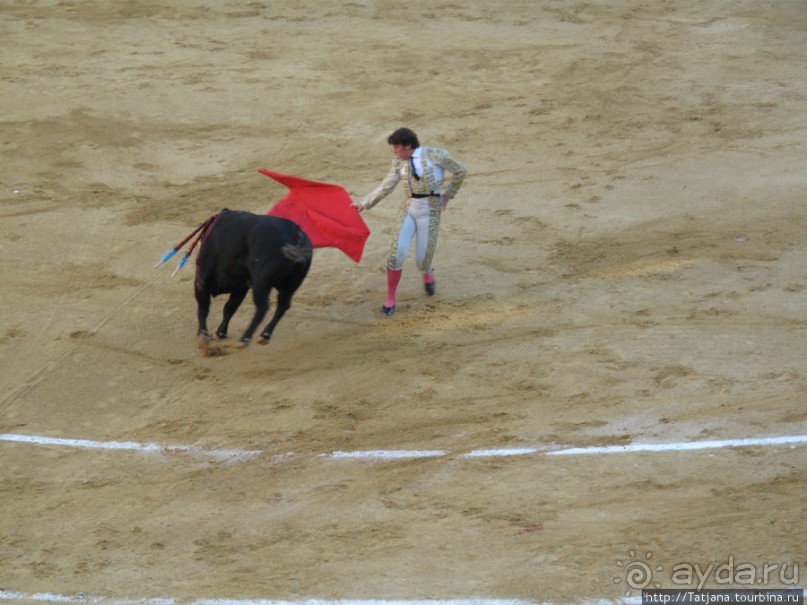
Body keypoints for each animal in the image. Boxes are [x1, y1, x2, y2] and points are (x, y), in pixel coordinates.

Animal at [193, 209, 312, 346]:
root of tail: (296, 235)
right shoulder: (240, 288)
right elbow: (229, 308)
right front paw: (220, 332)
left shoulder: (202, 280)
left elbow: (203, 308)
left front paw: (203, 335)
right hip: (291, 284)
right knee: (283, 305)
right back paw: (265, 335)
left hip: (261, 282)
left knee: (263, 307)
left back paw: (245, 338)